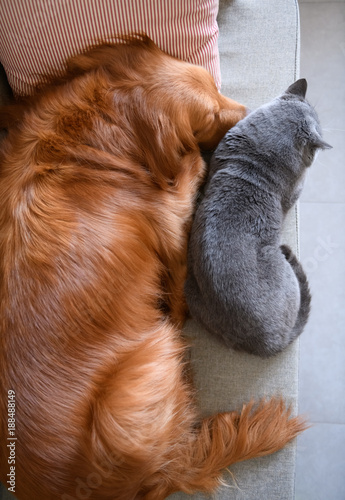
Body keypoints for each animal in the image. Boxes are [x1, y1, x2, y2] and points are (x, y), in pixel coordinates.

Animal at [0, 36, 306, 500]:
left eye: (215, 87)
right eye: (210, 114)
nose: (247, 112)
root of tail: (160, 472)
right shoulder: (167, 210)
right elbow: (187, 176)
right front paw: (193, 160)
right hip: (143, 370)